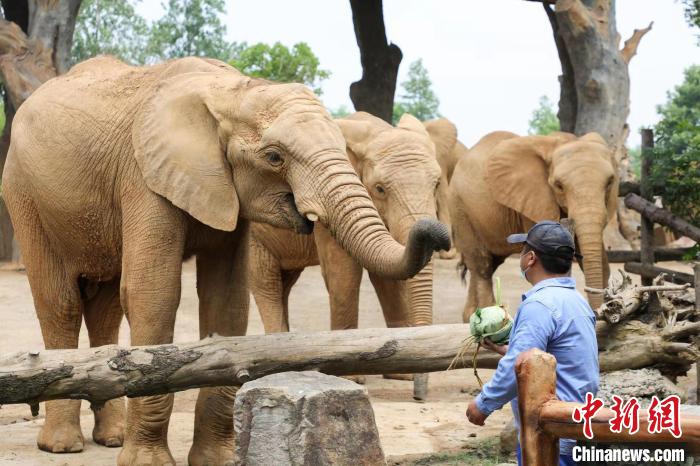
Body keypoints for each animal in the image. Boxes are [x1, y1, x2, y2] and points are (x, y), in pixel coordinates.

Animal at [1, 57, 448, 466]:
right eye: (274, 157)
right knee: (60, 302)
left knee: (106, 306)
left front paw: (216, 460)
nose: (435, 231)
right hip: (23, 192)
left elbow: (227, 299)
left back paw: (110, 438)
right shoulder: (145, 177)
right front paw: (148, 463)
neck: (233, 91)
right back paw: (62, 446)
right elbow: (153, 294)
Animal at [448, 131, 616, 320]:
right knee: (482, 266)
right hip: (460, 208)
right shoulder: (535, 199)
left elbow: (600, 260)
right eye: (558, 185)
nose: (598, 313)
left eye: (610, 182)